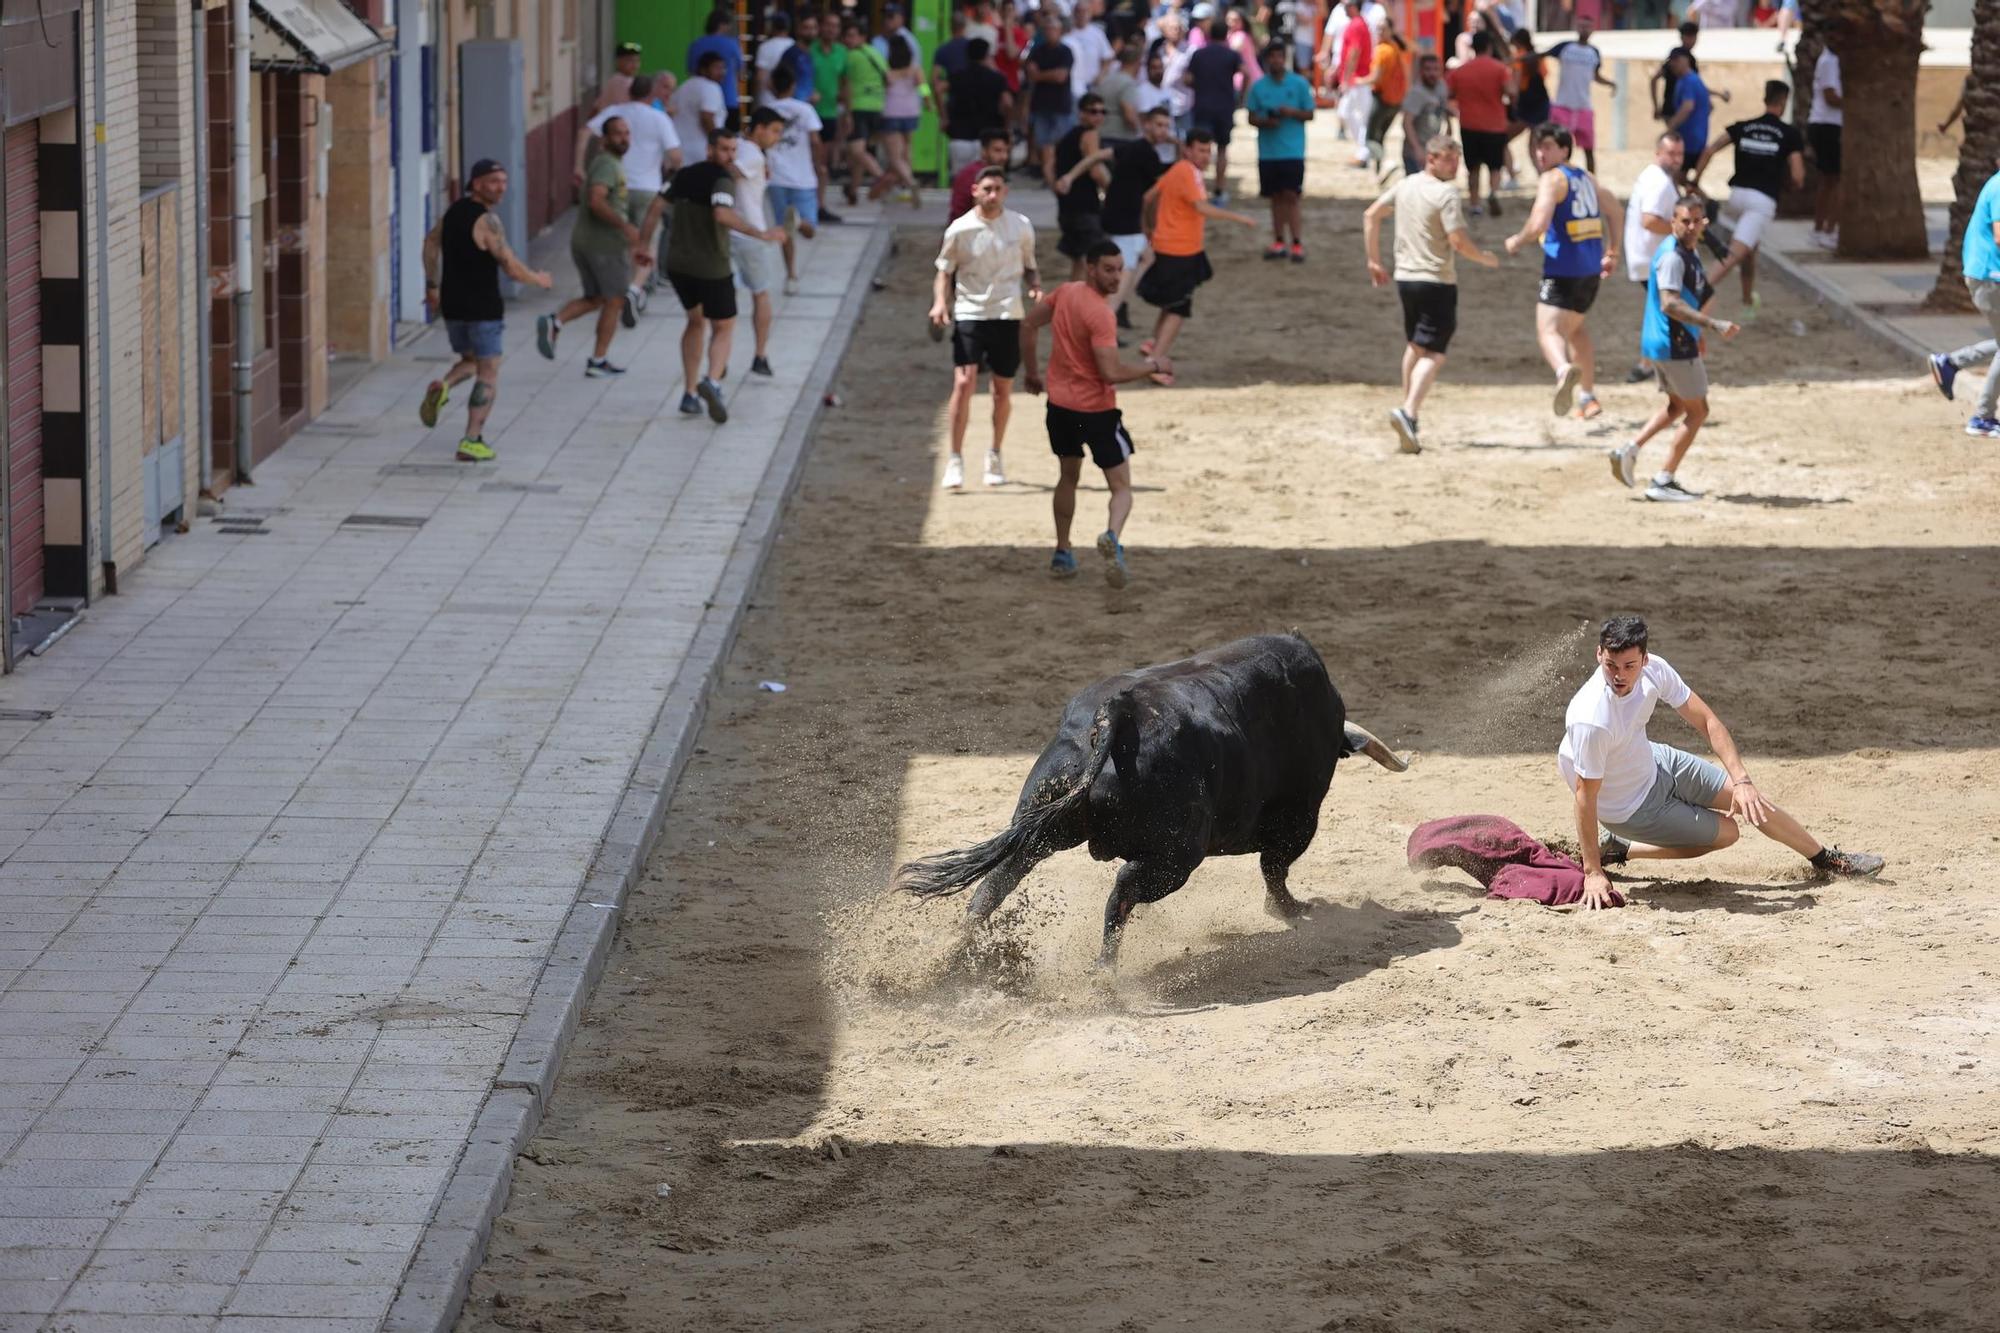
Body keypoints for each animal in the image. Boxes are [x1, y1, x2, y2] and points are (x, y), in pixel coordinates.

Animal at [896, 636, 1408, 964]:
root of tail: (1117, 714)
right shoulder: (1300, 815)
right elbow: (1275, 868)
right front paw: (1288, 909)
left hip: (1038, 825)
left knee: (996, 882)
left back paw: (954, 955)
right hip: (1177, 857)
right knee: (1122, 894)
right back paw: (1105, 975)